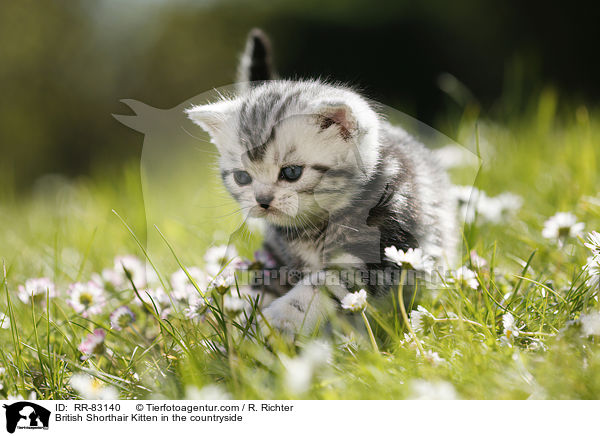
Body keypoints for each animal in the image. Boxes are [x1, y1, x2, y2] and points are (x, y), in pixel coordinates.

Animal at [185, 29, 458, 332]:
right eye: (242, 177)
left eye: (291, 173)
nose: (262, 201)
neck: (312, 229)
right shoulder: (276, 255)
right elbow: (261, 292)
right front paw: (241, 329)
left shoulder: (380, 246)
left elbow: (323, 285)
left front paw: (280, 319)